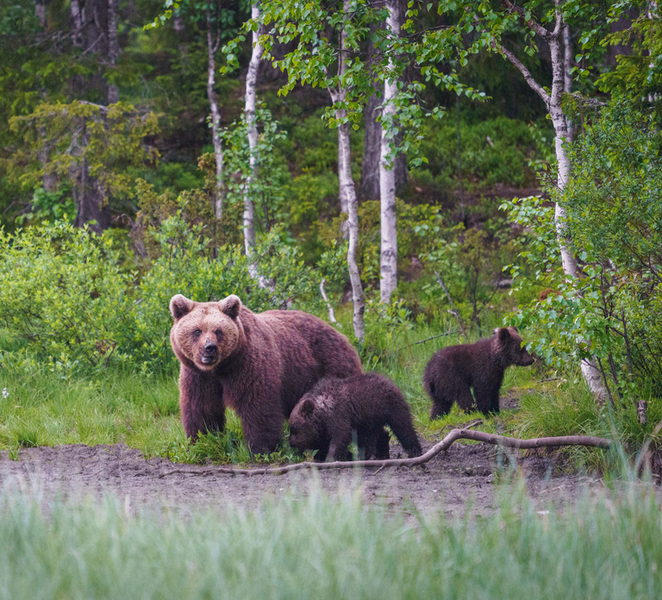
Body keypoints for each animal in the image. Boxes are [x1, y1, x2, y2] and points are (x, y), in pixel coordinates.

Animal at [169, 294, 362, 454]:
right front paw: (203, 440)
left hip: (329, 365)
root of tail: (339, 333)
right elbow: (203, 407)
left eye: (218, 331)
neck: (221, 368)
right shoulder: (198, 376)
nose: (210, 348)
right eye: (197, 331)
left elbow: (257, 405)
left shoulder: (247, 366)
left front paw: (260, 449)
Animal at [287, 373, 423, 462]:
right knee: (376, 434)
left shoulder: (339, 414)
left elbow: (340, 436)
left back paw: (414, 451)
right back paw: (380, 453)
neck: (323, 412)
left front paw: (331, 458)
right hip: (370, 418)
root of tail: (388, 381)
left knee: (403, 426)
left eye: (294, 428)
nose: (291, 443)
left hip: (389, 406)